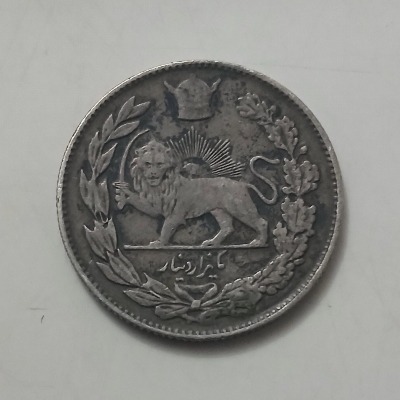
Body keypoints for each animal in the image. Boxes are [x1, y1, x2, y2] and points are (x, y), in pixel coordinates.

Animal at [114, 139, 278, 247]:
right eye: (147, 163)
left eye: (159, 164)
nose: (153, 174)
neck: (160, 185)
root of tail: (242, 184)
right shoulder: (157, 205)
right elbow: (151, 210)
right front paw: (124, 193)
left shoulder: (175, 214)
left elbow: (166, 228)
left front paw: (159, 243)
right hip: (219, 210)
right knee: (227, 227)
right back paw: (212, 243)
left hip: (239, 207)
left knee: (261, 222)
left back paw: (258, 242)